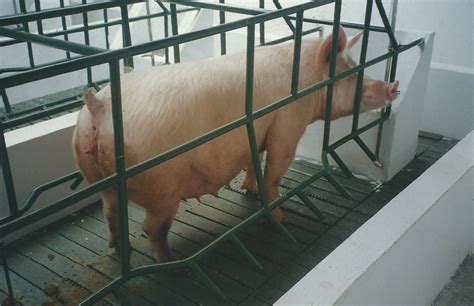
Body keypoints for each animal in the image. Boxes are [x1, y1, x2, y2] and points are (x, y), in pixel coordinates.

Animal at [73, 26, 400, 262]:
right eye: (352, 72)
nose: (393, 86)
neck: (306, 81)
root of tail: (99, 107)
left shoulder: (260, 130)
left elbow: (256, 159)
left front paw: (248, 191)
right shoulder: (289, 123)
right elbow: (276, 168)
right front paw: (281, 217)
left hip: (97, 177)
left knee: (111, 214)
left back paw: (121, 251)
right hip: (162, 183)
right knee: (152, 228)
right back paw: (170, 261)